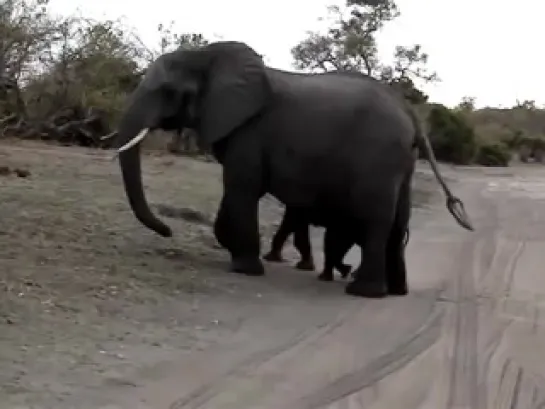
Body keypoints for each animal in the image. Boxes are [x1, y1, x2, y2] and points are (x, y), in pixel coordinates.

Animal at [111, 40, 472, 296]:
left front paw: (244, 268)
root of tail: (411, 115)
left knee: (376, 216)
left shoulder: (250, 130)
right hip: (402, 163)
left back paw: (363, 291)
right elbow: (238, 191)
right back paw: (395, 291)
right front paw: (231, 248)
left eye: (168, 92)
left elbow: (242, 187)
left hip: (378, 156)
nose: (167, 231)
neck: (207, 56)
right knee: (400, 219)